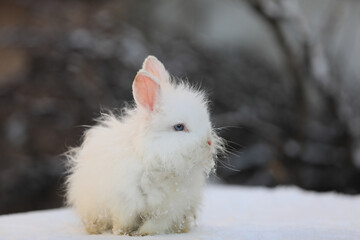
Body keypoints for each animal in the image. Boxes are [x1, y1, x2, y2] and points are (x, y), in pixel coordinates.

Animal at [64, 55, 222, 235]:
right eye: (179, 127)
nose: (209, 142)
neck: (157, 160)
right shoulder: (124, 202)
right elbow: (123, 222)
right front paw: (121, 233)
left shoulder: (168, 209)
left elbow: (154, 225)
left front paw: (142, 234)